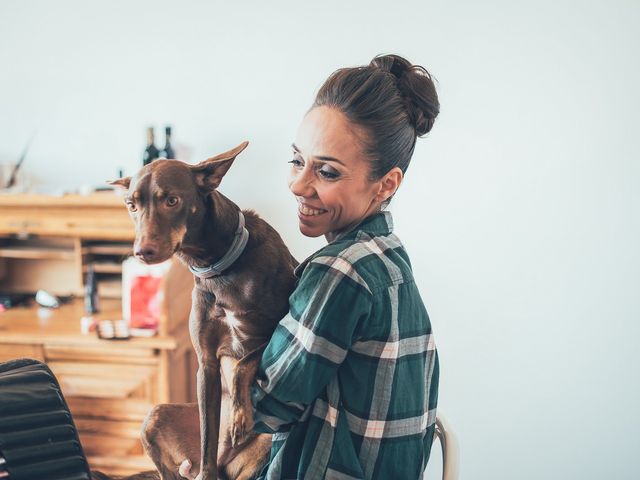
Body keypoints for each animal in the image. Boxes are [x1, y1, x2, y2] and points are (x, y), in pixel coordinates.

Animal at [109, 142, 298, 480]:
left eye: (172, 200)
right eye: (131, 205)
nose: (141, 252)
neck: (220, 268)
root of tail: (228, 463)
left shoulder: (276, 333)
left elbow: (244, 362)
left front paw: (238, 417)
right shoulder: (206, 363)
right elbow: (209, 432)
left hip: (265, 445)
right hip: (155, 419)